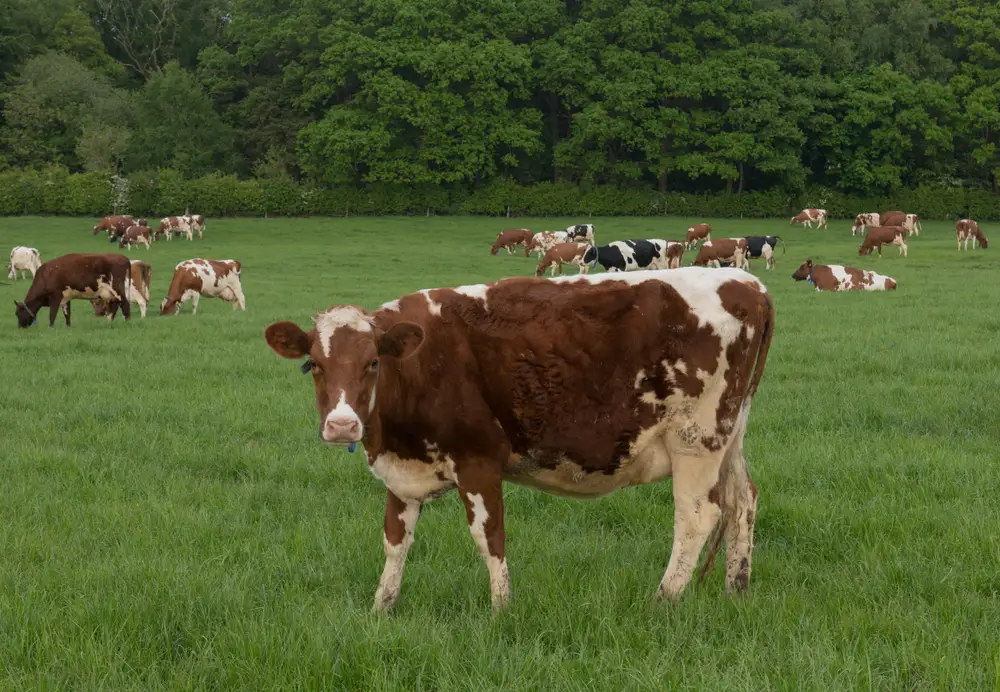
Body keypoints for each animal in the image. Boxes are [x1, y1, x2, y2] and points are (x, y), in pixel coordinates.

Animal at [264, 264, 772, 612]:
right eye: (314, 365)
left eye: (373, 362)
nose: (342, 425)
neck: (421, 364)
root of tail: (748, 283)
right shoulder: (402, 472)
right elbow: (395, 540)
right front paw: (380, 610)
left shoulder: (479, 460)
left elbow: (490, 538)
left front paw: (500, 610)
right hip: (730, 434)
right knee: (741, 500)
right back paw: (737, 590)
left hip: (696, 439)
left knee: (698, 515)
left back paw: (662, 601)